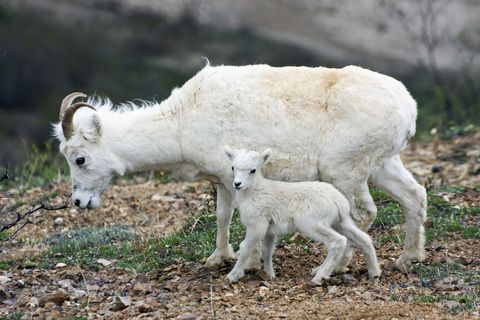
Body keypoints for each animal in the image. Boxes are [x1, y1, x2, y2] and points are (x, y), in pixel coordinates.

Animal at [223, 146, 380, 284]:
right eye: (232, 168)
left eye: (253, 170)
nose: (237, 184)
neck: (254, 191)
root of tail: (339, 202)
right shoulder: (270, 229)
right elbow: (267, 250)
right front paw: (271, 275)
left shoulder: (257, 225)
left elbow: (245, 248)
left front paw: (232, 276)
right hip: (341, 221)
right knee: (364, 238)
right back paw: (374, 273)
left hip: (312, 223)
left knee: (338, 241)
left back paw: (319, 277)